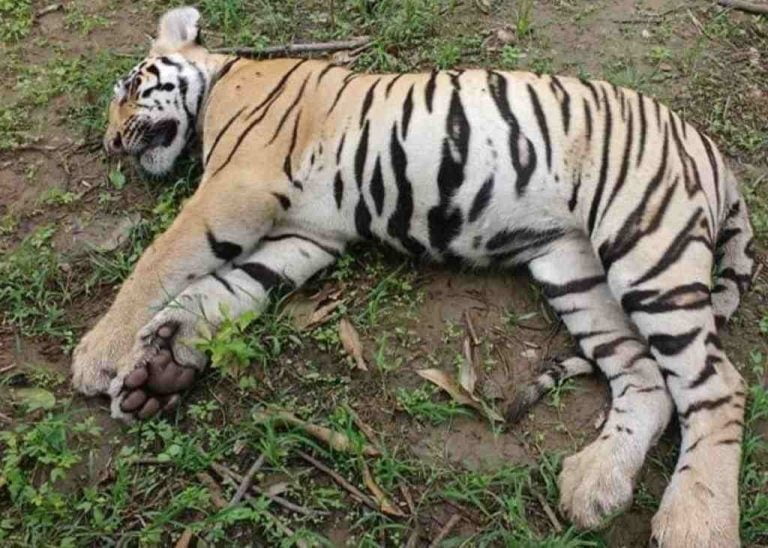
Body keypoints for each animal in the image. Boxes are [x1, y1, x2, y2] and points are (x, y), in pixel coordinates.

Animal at [71, 7, 756, 546]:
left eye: (129, 90)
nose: (109, 145)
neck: (220, 81)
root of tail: (713, 151)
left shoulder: (236, 188)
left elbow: (163, 259)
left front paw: (99, 354)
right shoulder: (305, 236)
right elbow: (226, 288)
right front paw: (161, 364)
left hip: (645, 246)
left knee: (718, 383)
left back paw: (696, 523)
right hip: (575, 271)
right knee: (646, 376)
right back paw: (594, 483)